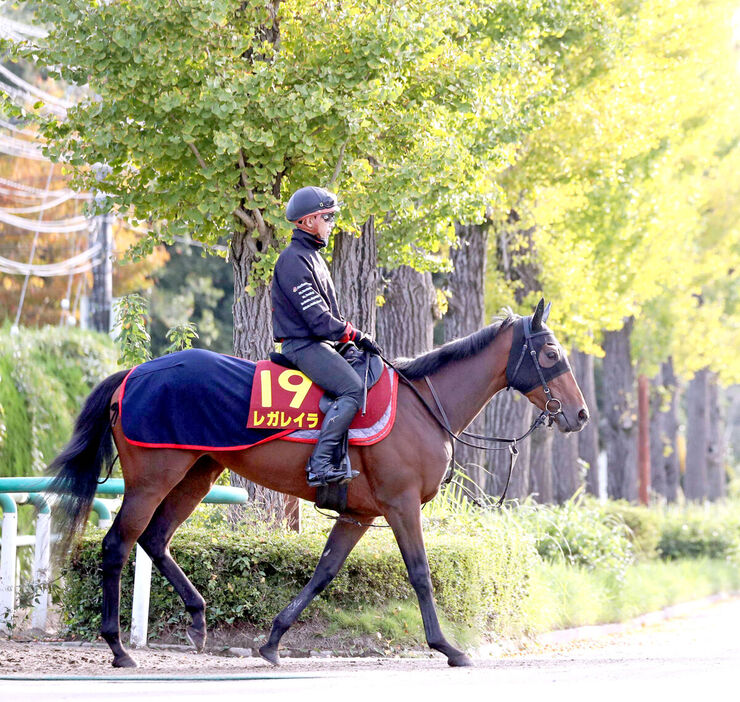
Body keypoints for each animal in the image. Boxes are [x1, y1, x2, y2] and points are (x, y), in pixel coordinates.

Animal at [47, 298, 588, 672]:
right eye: (550, 352)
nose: (580, 415)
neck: (422, 405)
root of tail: (132, 375)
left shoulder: (358, 514)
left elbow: (324, 571)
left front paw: (272, 641)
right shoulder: (401, 505)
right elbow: (420, 573)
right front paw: (447, 647)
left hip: (197, 473)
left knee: (156, 539)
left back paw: (198, 618)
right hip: (153, 478)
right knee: (118, 545)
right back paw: (118, 647)